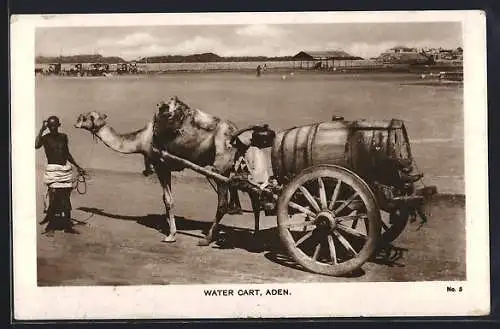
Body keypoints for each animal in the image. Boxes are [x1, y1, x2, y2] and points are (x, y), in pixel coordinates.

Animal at [75, 96, 264, 245]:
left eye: (87, 117)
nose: (76, 121)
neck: (142, 140)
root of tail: (237, 135)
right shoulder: (166, 167)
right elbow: (166, 199)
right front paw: (168, 228)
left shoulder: (161, 166)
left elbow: (168, 200)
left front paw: (171, 235)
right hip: (237, 167)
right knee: (254, 196)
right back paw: (255, 236)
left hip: (221, 167)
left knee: (223, 203)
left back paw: (207, 238)